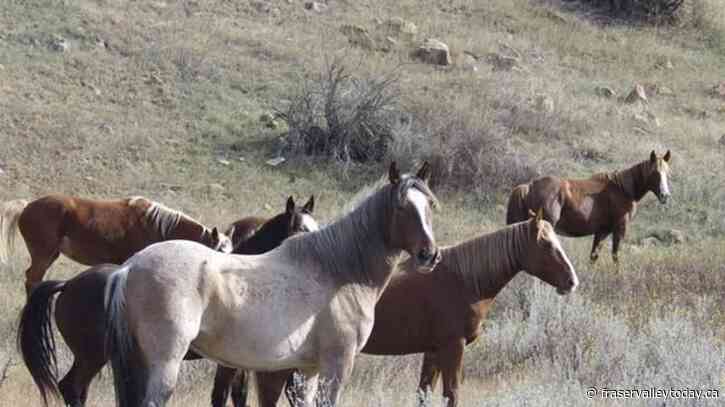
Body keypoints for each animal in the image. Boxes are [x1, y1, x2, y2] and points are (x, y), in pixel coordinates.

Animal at [104, 162, 440, 407]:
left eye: (429, 206)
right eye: (401, 207)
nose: (430, 254)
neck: (338, 270)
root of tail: (130, 267)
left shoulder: (307, 370)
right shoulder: (336, 365)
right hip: (165, 363)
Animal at [249, 209, 578, 407]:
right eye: (547, 245)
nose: (572, 281)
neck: (462, 280)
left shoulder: (433, 352)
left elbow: (424, 393)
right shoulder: (453, 348)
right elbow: (452, 394)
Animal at [506, 150, 671, 264]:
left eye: (667, 172)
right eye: (655, 173)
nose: (665, 196)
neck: (622, 189)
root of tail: (528, 187)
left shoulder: (602, 232)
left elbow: (593, 256)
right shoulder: (619, 229)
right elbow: (615, 256)